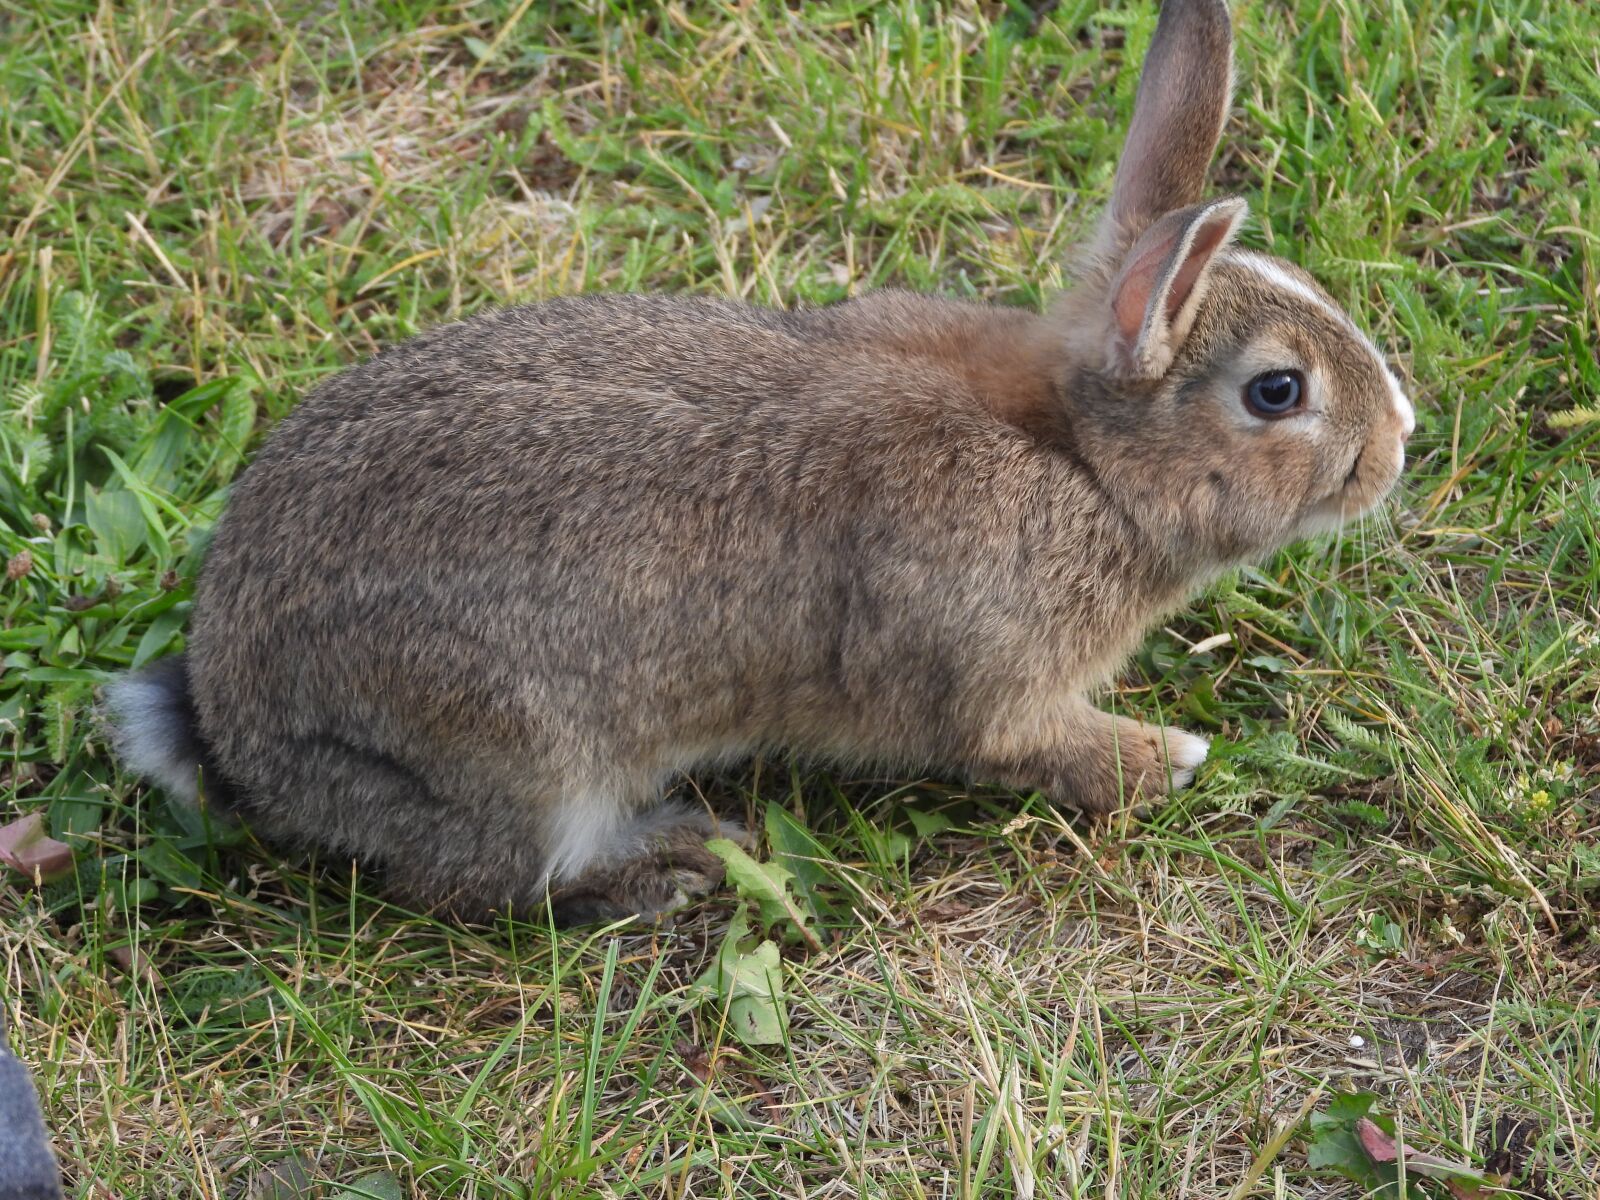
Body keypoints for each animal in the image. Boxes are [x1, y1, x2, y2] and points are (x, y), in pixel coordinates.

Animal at [103, 0, 1414, 928]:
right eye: (1278, 392)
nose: (1398, 442)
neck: (1079, 457)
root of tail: (242, 741)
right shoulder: (990, 687)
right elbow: (1042, 750)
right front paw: (1170, 758)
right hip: (507, 755)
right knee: (489, 884)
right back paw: (672, 862)